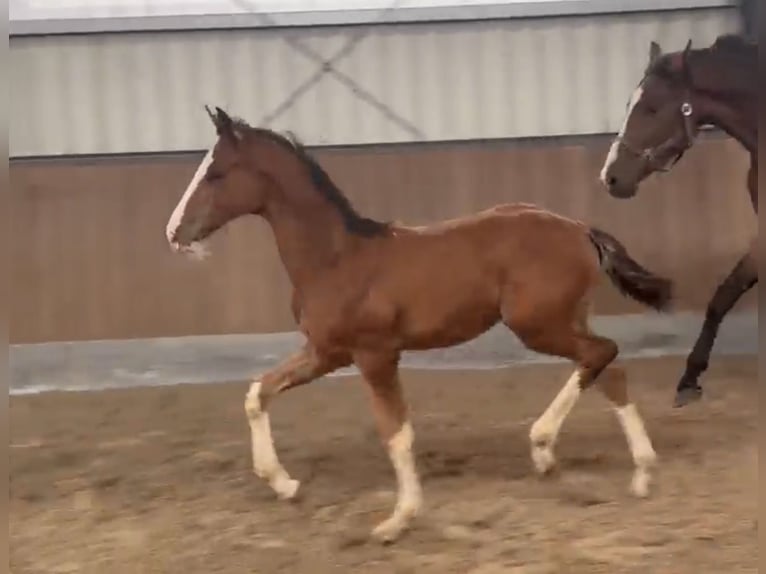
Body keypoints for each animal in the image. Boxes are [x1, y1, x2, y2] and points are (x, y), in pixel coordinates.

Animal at [165, 106, 672, 543]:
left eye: (215, 173)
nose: (174, 232)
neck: (336, 260)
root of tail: (581, 229)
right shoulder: (326, 352)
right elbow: (258, 393)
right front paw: (285, 484)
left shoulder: (375, 355)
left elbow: (396, 433)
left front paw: (397, 520)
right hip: (563, 320)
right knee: (608, 367)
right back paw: (624, 470)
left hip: (537, 324)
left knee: (602, 355)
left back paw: (556, 448)